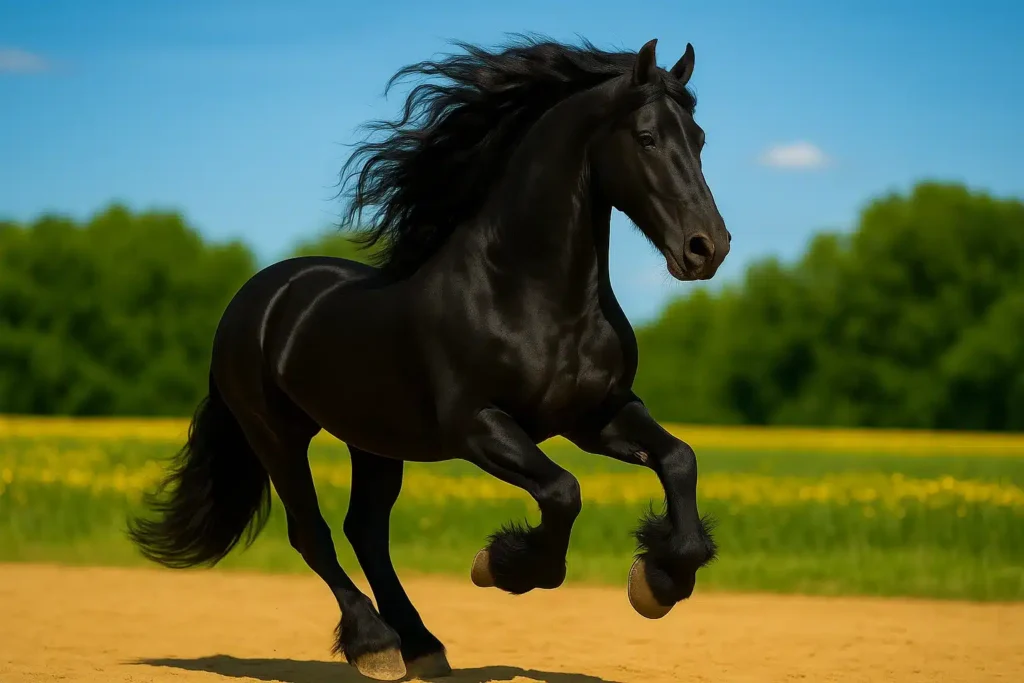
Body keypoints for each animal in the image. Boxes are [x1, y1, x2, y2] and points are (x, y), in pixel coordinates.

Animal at [126, 35, 730, 681]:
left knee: (365, 531)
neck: (530, 296)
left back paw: (419, 645)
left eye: (699, 139)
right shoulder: (477, 426)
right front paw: (501, 565)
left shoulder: (597, 415)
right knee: (312, 533)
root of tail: (254, 297)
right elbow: (563, 491)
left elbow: (679, 459)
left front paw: (659, 581)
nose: (707, 248)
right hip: (275, 435)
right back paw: (375, 644)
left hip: (372, 441)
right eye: (646, 137)